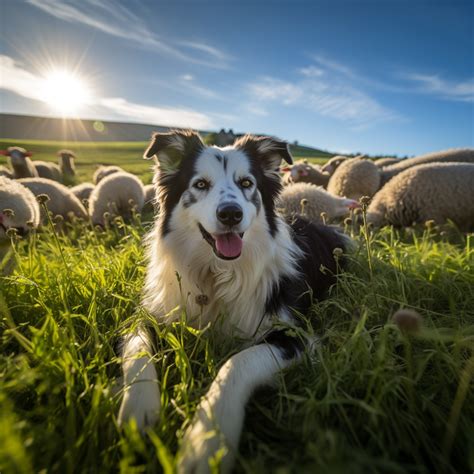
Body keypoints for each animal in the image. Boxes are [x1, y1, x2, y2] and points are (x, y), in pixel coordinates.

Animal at [117, 130, 348, 470]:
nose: (230, 214)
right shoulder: (148, 315)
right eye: (200, 184)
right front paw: (138, 408)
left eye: (246, 183)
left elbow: (238, 362)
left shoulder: (296, 336)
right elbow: (138, 349)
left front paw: (207, 441)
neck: (217, 274)